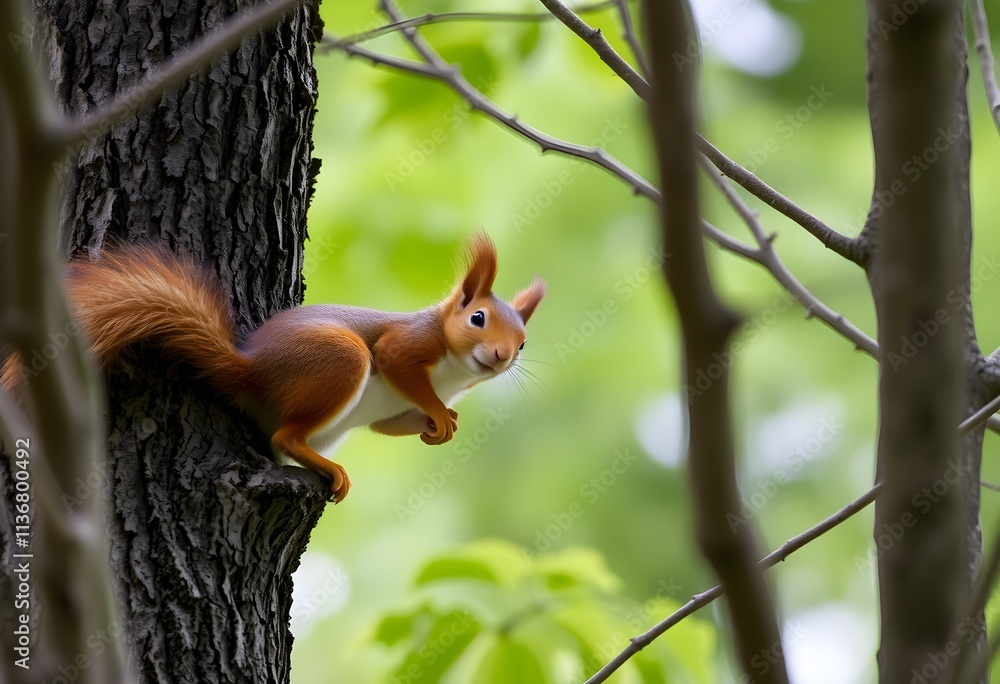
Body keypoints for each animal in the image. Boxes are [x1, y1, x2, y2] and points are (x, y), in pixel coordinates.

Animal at [0, 234, 545, 503]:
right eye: (477, 319)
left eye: (522, 343)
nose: (501, 356)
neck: (455, 374)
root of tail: (250, 372)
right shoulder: (407, 345)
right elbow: (398, 362)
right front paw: (438, 412)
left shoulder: (399, 410)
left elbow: (394, 423)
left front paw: (440, 425)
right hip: (339, 362)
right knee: (287, 436)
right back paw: (327, 468)